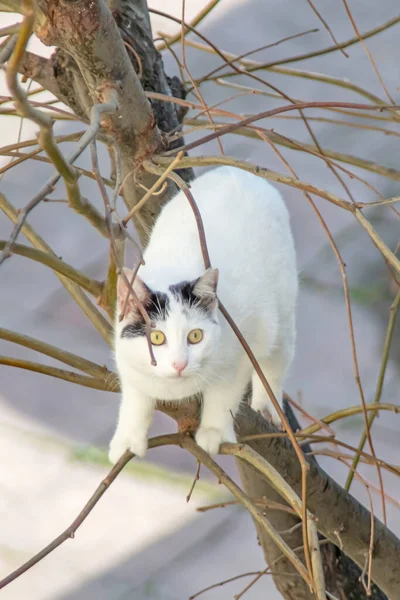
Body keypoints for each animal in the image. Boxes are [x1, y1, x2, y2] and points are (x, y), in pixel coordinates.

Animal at [108, 166, 296, 462]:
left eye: (195, 336)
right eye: (157, 338)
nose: (179, 364)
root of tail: (237, 171)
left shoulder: (239, 352)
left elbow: (223, 394)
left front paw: (213, 432)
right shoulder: (128, 362)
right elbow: (136, 401)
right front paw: (127, 440)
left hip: (281, 313)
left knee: (276, 361)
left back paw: (268, 405)